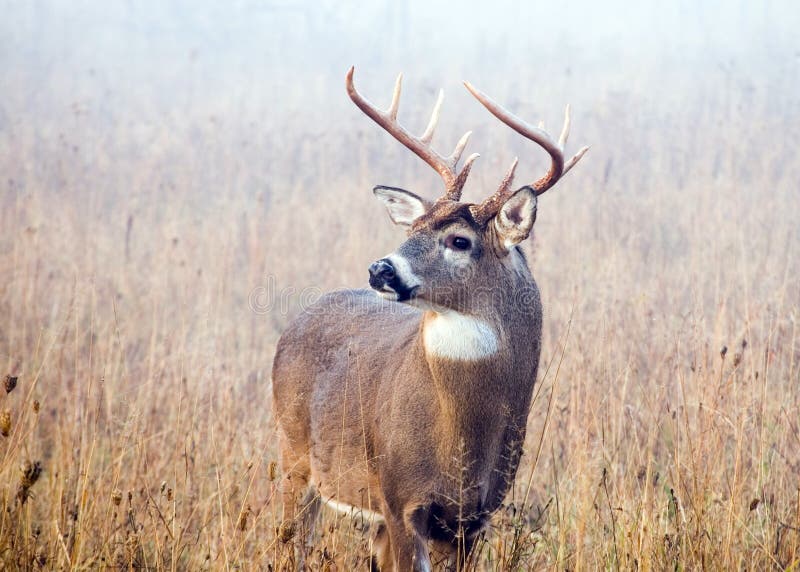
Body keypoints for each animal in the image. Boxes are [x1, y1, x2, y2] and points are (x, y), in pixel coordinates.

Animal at [271, 67, 587, 571]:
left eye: (459, 240)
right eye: (415, 228)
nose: (380, 269)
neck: (461, 437)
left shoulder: (474, 518)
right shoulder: (401, 498)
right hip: (294, 457)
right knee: (288, 542)